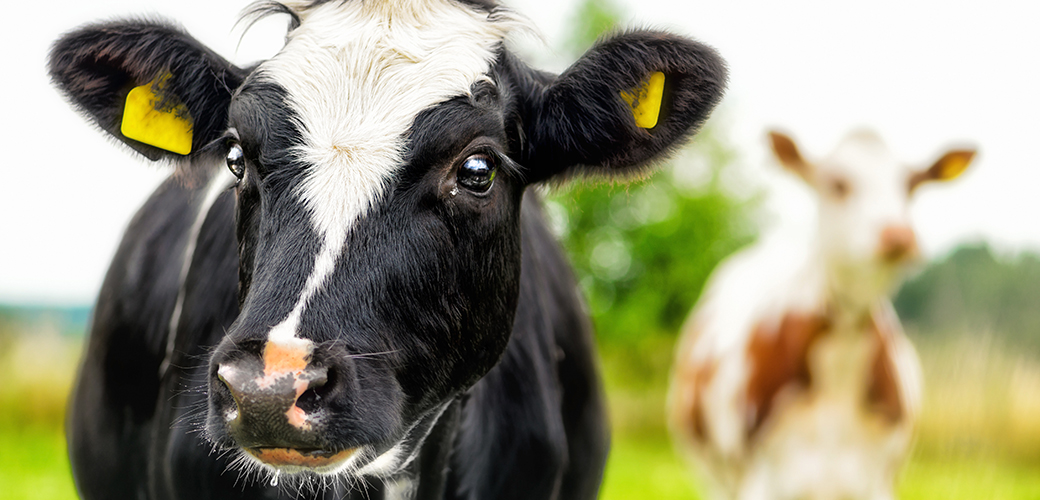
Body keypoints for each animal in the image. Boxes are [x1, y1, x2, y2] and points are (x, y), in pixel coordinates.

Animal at [665, 129, 973, 498]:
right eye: (838, 184)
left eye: (911, 185)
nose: (898, 235)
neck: (840, 361)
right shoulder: (760, 482)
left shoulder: (878, 483)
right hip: (713, 477)